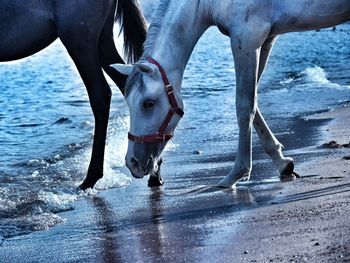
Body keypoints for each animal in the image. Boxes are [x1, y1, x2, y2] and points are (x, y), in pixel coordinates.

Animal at [115, 1, 350, 189]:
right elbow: (254, 103)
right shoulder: (265, 39)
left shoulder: (246, 38)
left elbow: (244, 106)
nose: (132, 162)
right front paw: (282, 162)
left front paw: (236, 173)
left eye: (148, 103)